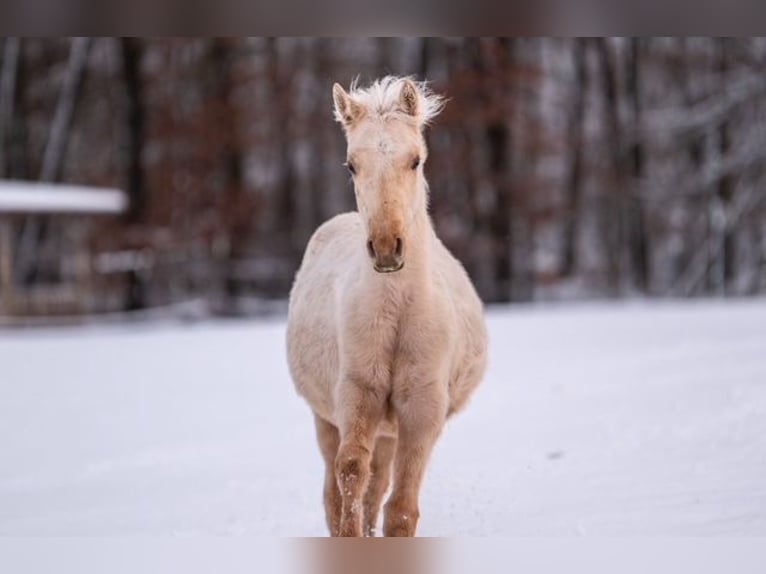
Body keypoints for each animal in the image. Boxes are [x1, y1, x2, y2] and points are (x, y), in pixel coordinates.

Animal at [284, 76, 488, 540]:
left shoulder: (422, 409)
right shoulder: (356, 395)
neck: (398, 313)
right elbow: (350, 478)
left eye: (415, 160)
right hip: (328, 418)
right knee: (340, 488)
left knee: (380, 488)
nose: (385, 249)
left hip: (389, 430)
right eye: (350, 165)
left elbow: (400, 507)